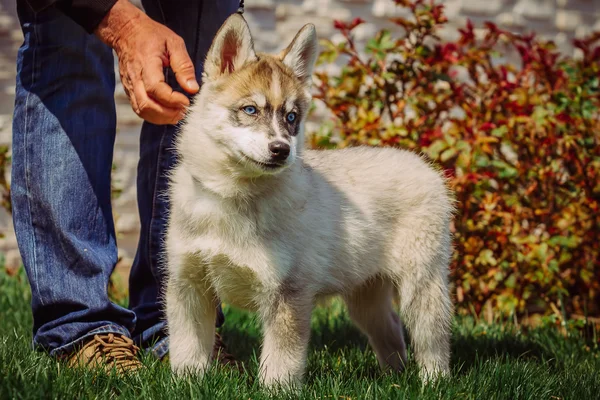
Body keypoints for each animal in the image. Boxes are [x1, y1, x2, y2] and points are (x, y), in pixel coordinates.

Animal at [165, 14, 454, 386]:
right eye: (250, 109)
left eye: (291, 117)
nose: (281, 150)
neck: (232, 196)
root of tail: (423, 165)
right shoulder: (188, 285)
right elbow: (186, 350)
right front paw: (186, 383)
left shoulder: (288, 293)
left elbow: (280, 362)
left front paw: (275, 389)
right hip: (366, 297)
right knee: (390, 331)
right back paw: (394, 378)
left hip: (422, 285)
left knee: (432, 339)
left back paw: (434, 381)